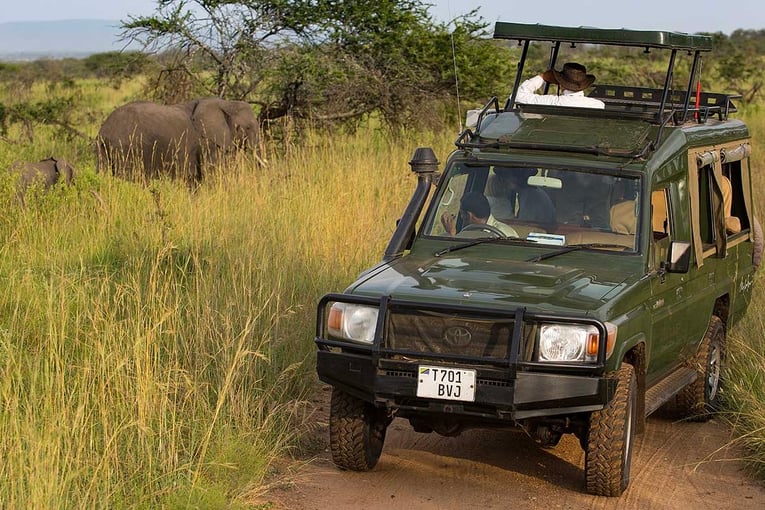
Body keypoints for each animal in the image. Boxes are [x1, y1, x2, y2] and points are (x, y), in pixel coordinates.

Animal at [97, 97, 260, 183]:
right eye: (248, 127)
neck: (227, 103)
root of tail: (103, 131)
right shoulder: (208, 143)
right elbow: (213, 173)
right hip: (125, 149)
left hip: (104, 150)